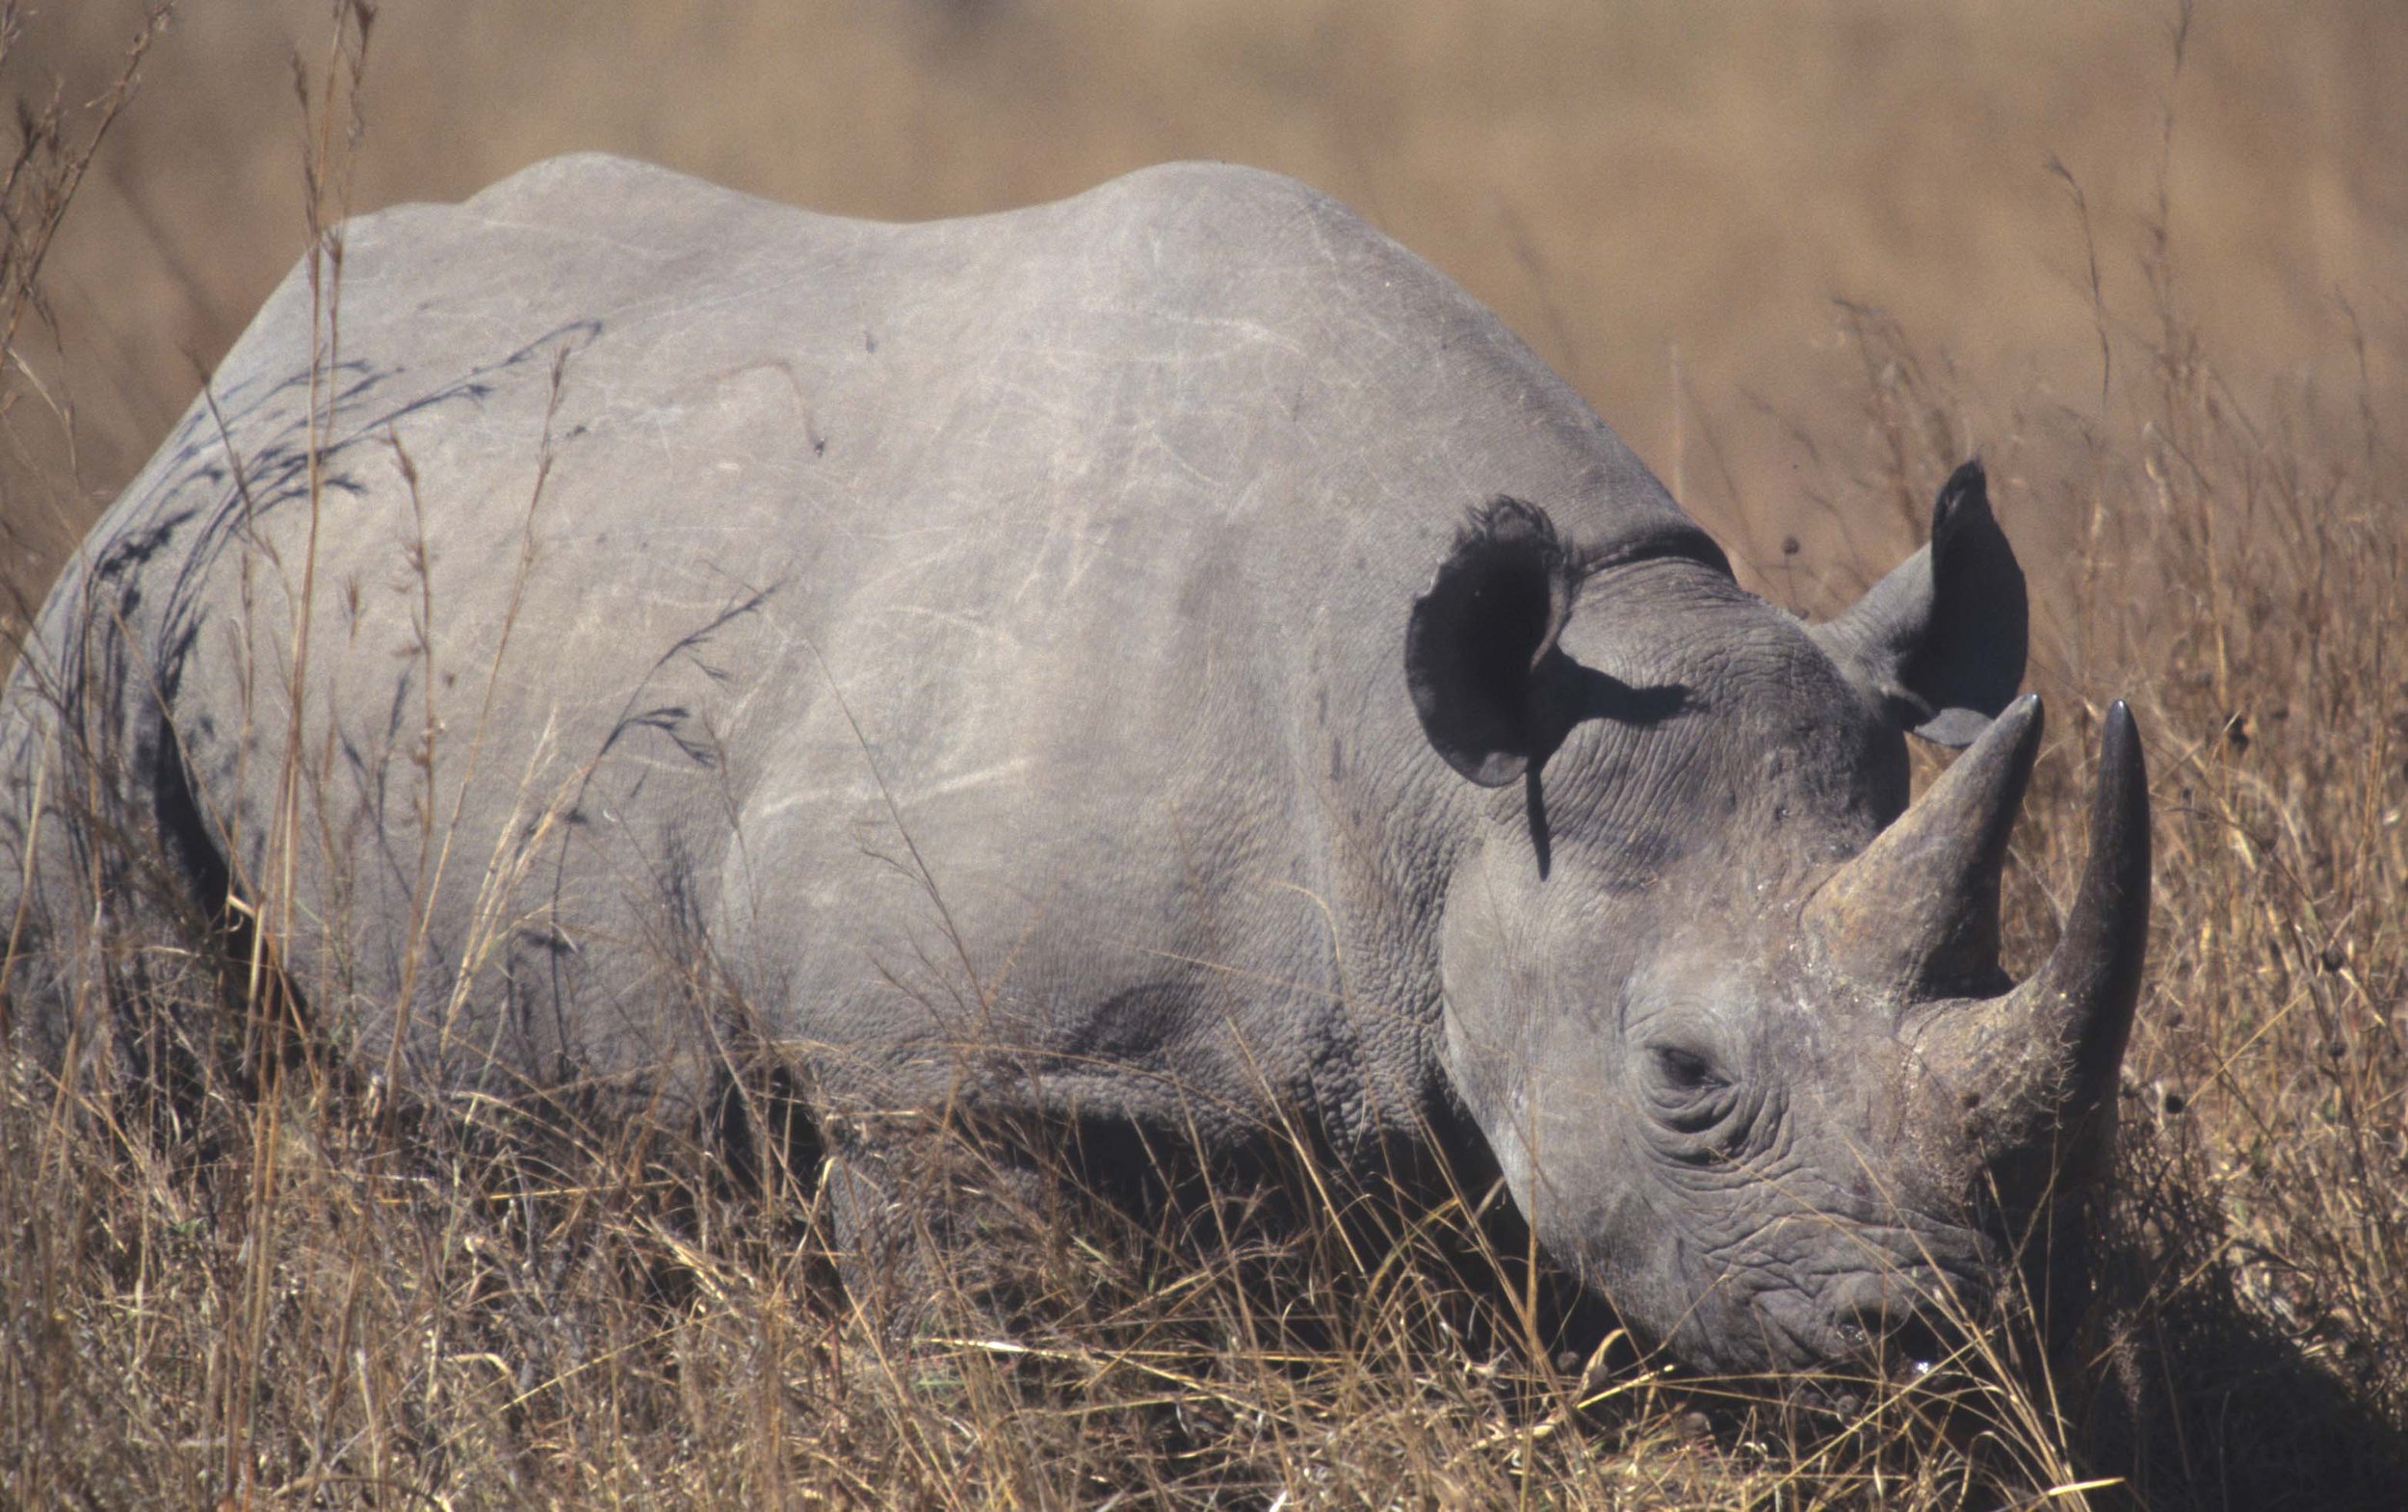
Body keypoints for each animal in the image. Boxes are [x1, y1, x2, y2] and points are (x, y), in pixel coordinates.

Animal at [0, 156, 2147, 1378]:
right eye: (1685, 1080)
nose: (1942, 1338)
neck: (1445, 777)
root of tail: (241, 360)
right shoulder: (939, 1067)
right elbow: (1012, 1373)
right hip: (114, 617)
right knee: (149, 1071)